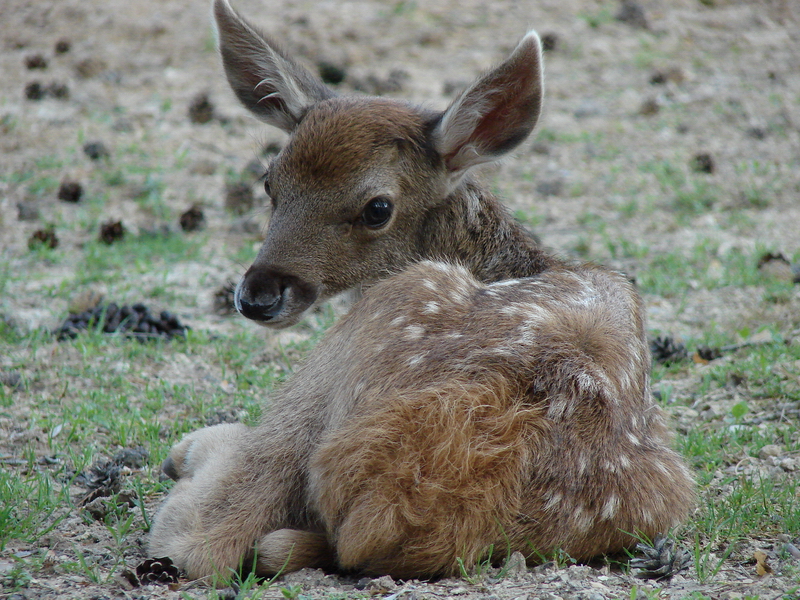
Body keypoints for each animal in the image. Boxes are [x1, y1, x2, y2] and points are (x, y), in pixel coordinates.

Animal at [148, 0, 696, 583]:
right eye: (270, 181)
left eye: (377, 208)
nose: (258, 295)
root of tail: (396, 500)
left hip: (374, 327)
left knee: (210, 531)